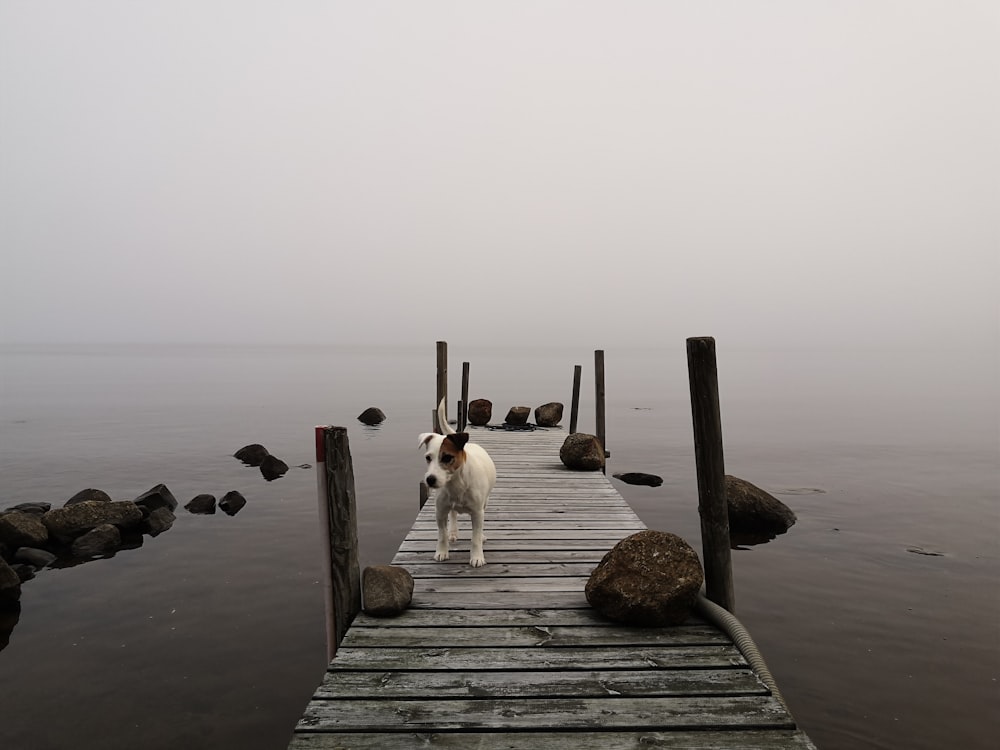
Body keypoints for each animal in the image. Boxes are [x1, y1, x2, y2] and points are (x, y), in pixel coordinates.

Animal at [418, 402, 496, 568]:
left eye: (447, 457)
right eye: (428, 458)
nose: (430, 479)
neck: (456, 483)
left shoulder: (477, 512)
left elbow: (475, 538)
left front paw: (477, 556)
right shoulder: (440, 511)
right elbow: (441, 535)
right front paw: (441, 552)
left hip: (484, 503)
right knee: (453, 514)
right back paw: (453, 533)